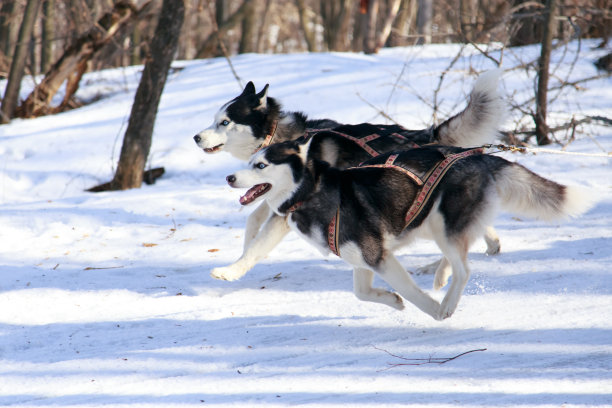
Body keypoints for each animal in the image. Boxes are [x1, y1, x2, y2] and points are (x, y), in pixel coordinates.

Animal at [195, 71, 502, 280]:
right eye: (214, 120)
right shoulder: (278, 198)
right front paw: (243, 248)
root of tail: (422, 136)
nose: (196, 137)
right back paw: (490, 244)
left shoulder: (288, 209)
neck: (280, 137)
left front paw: (232, 270)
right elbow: (253, 221)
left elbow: (259, 243)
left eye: (225, 122)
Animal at [226, 139, 592, 320]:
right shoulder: (363, 260)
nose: (229, 177)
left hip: (442, 223)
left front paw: (431, 309)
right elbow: (361, 293)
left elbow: (413, 293)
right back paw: (441, 276)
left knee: (465, 268)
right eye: (248, 163)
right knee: (463, 252)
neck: (312, 192)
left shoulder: (378, 256)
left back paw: (446, 301)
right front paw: (393, 301)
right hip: (431, 223)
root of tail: (477, 156)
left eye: (260, 165)